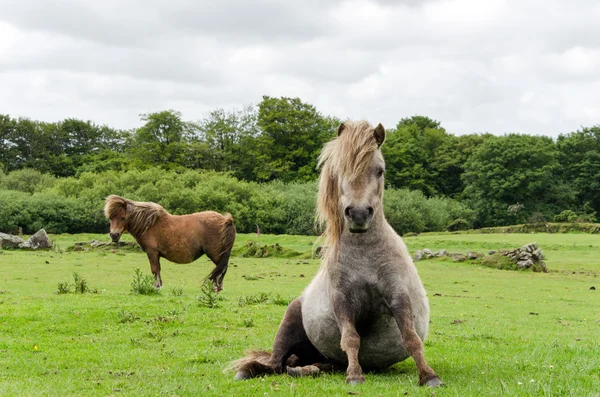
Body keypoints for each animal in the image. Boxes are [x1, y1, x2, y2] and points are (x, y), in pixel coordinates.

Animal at [104, 195, 236, 290]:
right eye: (110, 217)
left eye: (123, 217)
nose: (114, 235)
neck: (149, 224)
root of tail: (226, 221)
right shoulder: (156, 254)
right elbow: (158, 269)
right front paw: (160, 285)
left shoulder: (152, 252)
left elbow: (155, 270)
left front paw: (156, 286)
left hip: (216, 254)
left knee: (221, 269)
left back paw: (216, 287)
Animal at [230, 121, 440, 386]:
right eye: (340, 171)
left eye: (380, 170)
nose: (359, 214)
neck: (364, 254)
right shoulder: (342, 300)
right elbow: (350, 338)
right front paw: (355, 376)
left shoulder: (398, 295)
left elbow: (411, 338)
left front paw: (429, 376)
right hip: (290, 322)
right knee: (275, 364)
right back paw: (249, 370)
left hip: (324, 356)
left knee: (316, 365)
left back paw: (305, 370)